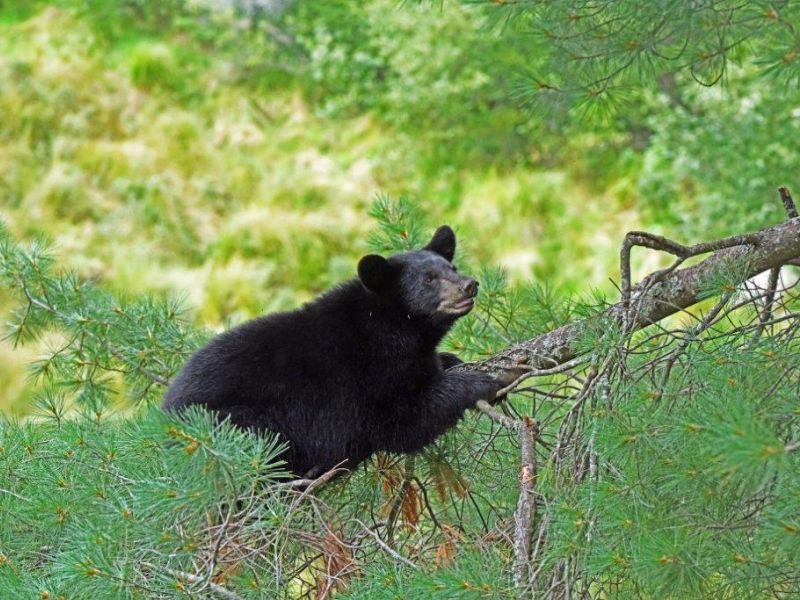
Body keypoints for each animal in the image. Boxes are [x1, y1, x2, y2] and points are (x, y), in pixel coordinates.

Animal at [162, 225, 503, 477]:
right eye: (429, 279)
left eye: (452, 267)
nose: (469, 284)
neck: (387, 325)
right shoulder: (364, 377)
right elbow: (400, 421)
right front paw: (478, 382)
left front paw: (450, 359)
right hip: (232, 422)